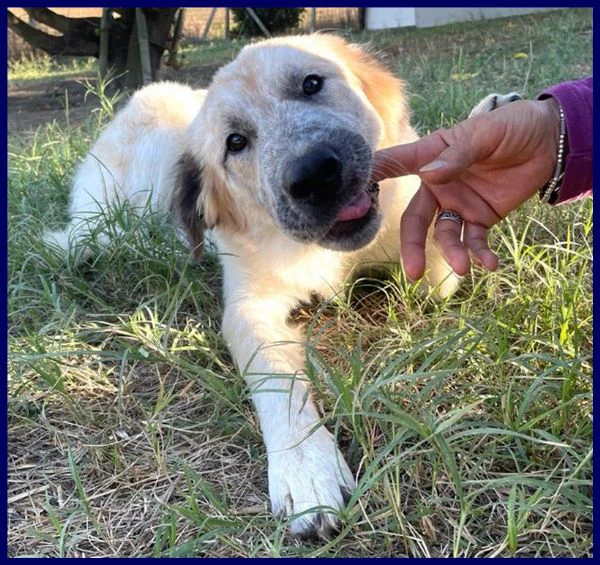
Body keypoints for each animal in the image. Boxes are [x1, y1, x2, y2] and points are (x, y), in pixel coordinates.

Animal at [43, 33, 482, 536]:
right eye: (236, 142)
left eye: (311, 84)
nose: (314, 175)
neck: (332, 255)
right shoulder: (247, 308)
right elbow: (277, 380)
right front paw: (305, 469)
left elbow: (440, 257)